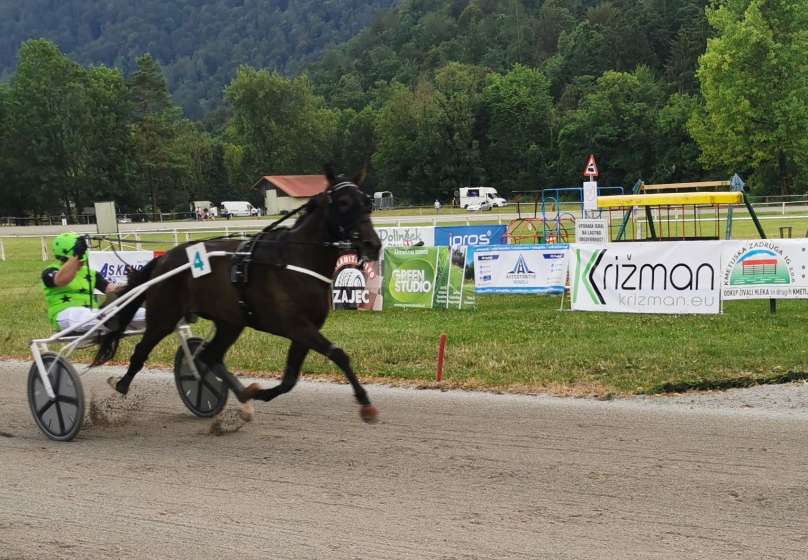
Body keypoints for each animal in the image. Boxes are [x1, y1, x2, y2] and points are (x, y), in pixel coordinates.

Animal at [93, 168, 384, 422]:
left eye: (367, 202)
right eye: (344, 203)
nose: (372, 244)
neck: (296, 258)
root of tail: (165, 259)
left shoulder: (306, 329)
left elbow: (290, 379)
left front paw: (258, 393)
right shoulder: (296, 326)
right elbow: (338, 354)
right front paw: (365, 404)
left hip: (230, 322)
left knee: (208, 356)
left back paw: (240, 394)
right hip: (164, 315)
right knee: (142, 351)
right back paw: (120, 386)